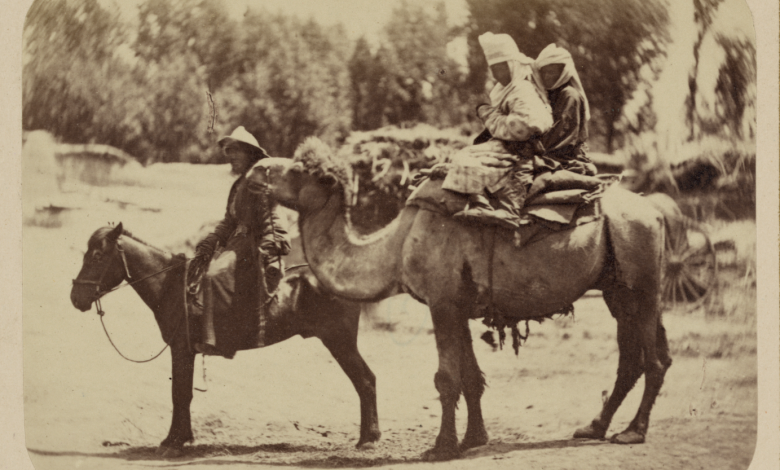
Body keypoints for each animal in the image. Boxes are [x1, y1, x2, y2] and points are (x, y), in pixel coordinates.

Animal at [246, 137, 672, 461]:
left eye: (298, 171)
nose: (254, 170)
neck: (396, 247)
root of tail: (656, 211)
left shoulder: (442, 303)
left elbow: (446, 378)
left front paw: (441, 447)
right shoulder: (461, 306)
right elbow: (472, 378)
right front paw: (473, 439)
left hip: (640, 276)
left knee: (650, 358)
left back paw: (632, 432)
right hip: (620, 288)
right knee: (638, 357)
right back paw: (593, 427)